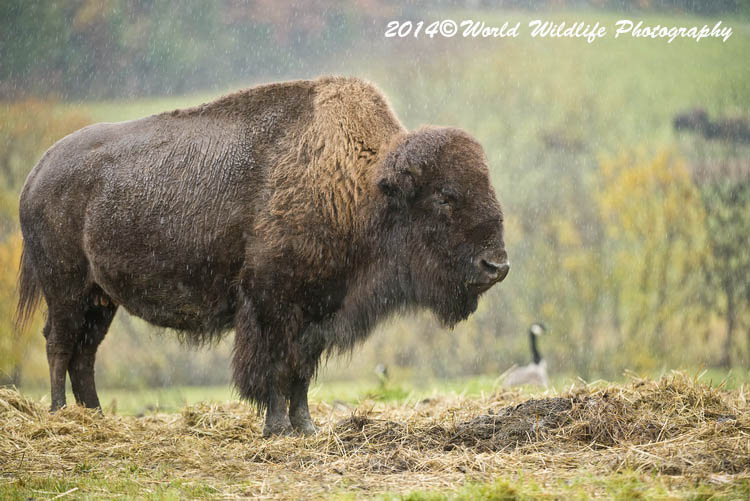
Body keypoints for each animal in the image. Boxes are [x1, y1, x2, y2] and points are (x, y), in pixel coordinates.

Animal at [17, 76, 508, 436]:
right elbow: (274, 368)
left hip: (101, 298)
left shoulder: (317, 312)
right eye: (445, 197)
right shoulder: (272, 305)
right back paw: (61, 416)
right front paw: (277, 428)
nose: (497, 266)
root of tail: (38, 171)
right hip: (66, 288)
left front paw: (306, 428)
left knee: (84, 353)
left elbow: (301, 372)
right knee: (59, 344)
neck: (363, 186)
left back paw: (95, 418)